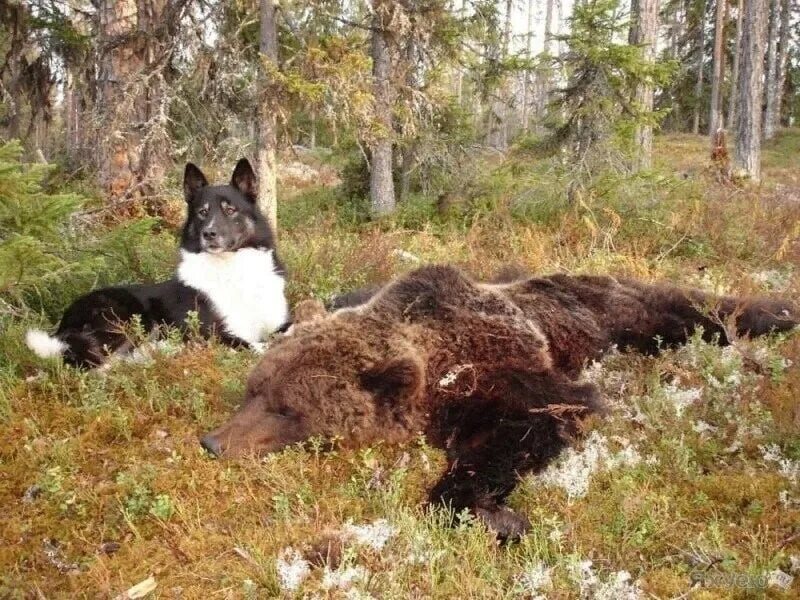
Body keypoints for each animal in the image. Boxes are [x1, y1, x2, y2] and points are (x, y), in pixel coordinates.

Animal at [26, 158, 290, 366]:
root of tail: (64, 322)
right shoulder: (214, 333)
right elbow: (258, 346)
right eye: (202, 212)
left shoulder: (281, 323)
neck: (231, 268)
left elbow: (286, 334)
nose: (209, 234)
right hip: (125, 319)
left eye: (230, 210)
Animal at [202, 266, 800, 540]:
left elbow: (536, 420)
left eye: (287, 408)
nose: (212, 443)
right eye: (254, 390)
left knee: (693, 312)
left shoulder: (503, 373)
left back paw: (774, 313)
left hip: (624, 316)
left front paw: (494, 514)